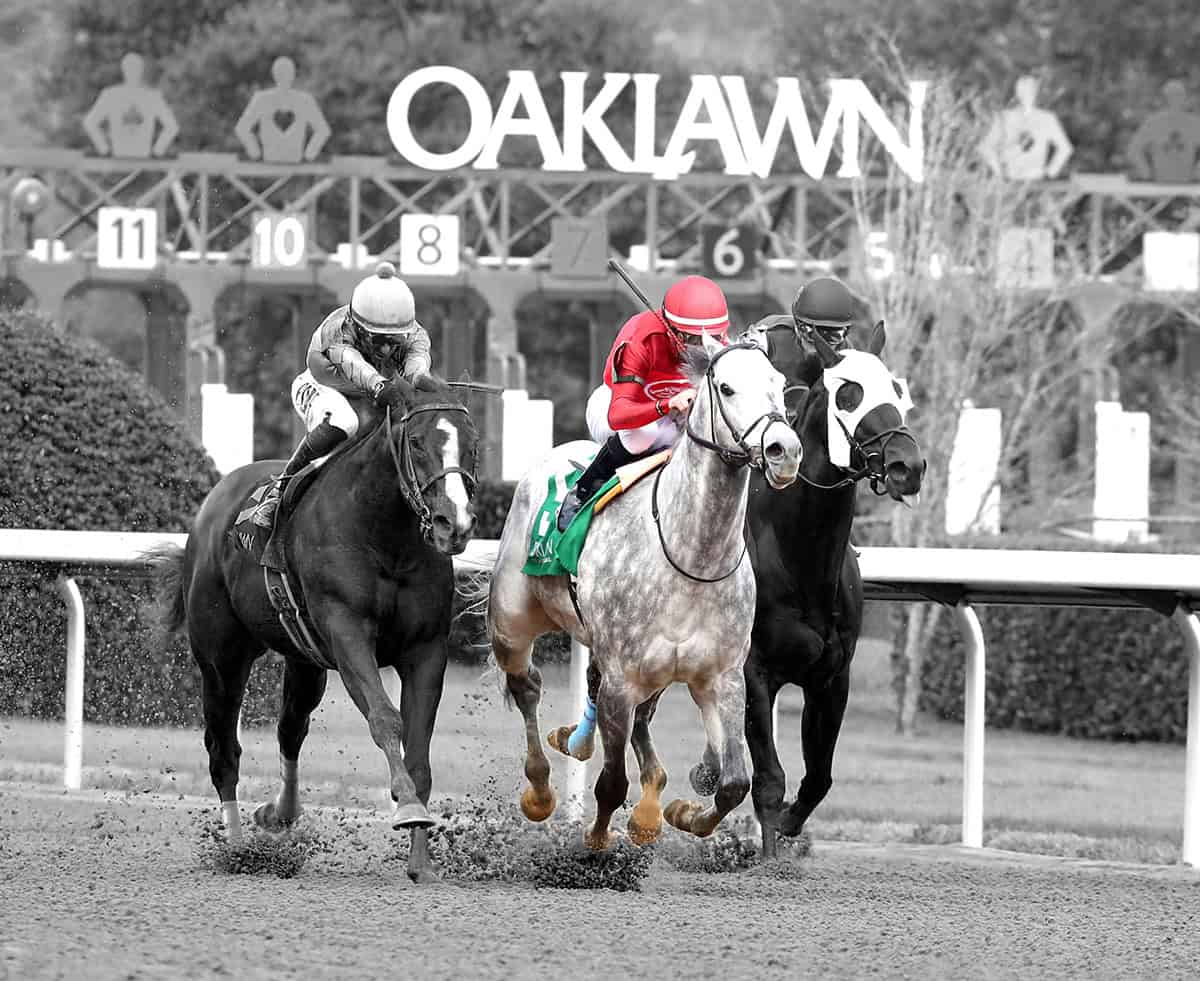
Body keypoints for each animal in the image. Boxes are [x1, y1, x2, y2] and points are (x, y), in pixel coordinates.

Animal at [150, 374, 480, 883]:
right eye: (417, 443)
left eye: (473, 445)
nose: (454, 524)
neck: (385, 536)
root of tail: (213, 504)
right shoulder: (347, 633)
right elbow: (385, 719)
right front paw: (406, 807)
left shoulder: (426, 649)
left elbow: (419, 751)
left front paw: (421, 861)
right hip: (221, 658)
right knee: (223, 749)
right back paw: (238, 848)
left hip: (303, 661)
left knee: (290, 729)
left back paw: (279, 814)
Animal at [486, 336, 802, 850]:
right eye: (727, 387)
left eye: (778, 383)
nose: (784, 450)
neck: (691, 556)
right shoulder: (621, 677)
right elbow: (611, 782)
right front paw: (596, 844)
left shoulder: (724, 676)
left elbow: (734, 782)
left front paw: (682, 813)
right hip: (512, 621)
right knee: (527, 685)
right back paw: (541, 790)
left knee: (639, 718)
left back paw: (647, 802)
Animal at [688, 322, 926, 858]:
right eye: (848, 393)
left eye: (896, 390)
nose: (907, 465)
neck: (799, 558)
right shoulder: (753, 671)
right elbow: (769, 779)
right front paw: (770, 855)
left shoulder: (832, 677)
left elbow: (818, 777)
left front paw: (791, 828)